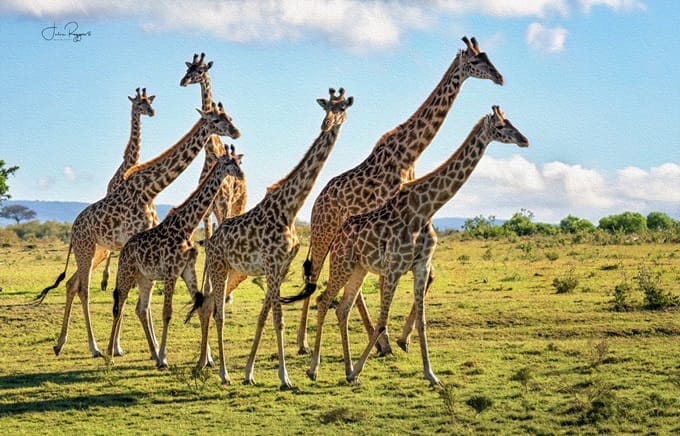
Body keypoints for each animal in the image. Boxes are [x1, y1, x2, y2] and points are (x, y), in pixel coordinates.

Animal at [107, 151, 244, 368]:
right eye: (227, 163)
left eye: (239, 162)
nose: (240, 174)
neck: (186, 226)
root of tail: (124, 249)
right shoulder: (171, 272)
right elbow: (167, 312)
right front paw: (164, 359)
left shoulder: (187, 270)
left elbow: (199, 306)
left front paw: (207, 359)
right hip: (126, 272)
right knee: (119, 307)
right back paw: (110, 356)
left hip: (146, 278)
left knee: (141, 309)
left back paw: (152, 354)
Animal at [190, 88, 353, 389]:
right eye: (327, 107)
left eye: (342, 108)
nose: (327, 124)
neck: (289, 208)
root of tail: (211, 240)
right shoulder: (272, 264)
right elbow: (278, 319)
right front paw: (285, 378)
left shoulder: (280, 266)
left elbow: (264, 316)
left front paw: (249, 373)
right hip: (219, 267)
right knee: (217, 311)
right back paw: (221, 372)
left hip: (232, 270)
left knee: (206, 305)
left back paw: (201, 365)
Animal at [291, 36, 504, 354]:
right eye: (477, 61)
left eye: (489, 57)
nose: (499, 77)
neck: (409, 152)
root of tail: (317, 202)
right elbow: (384, 282)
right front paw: (390, 340)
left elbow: (425, 275)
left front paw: (401, 339)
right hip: (323, 233)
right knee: (315, 274)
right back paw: (304, 342)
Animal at [301, 106, 529, 385]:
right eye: (500, 127)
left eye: (511, 122)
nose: (524, 140)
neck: (425, 210)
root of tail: (338, 235)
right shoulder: (394, 267)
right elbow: (383, 321)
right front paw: (364, 365)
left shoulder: (421, 266)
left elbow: (422, 322)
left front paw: (431, 375)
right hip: (341, 263)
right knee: (323, 300)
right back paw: (315, 368)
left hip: (359, 268)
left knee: (342, 309)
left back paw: (347, 371)